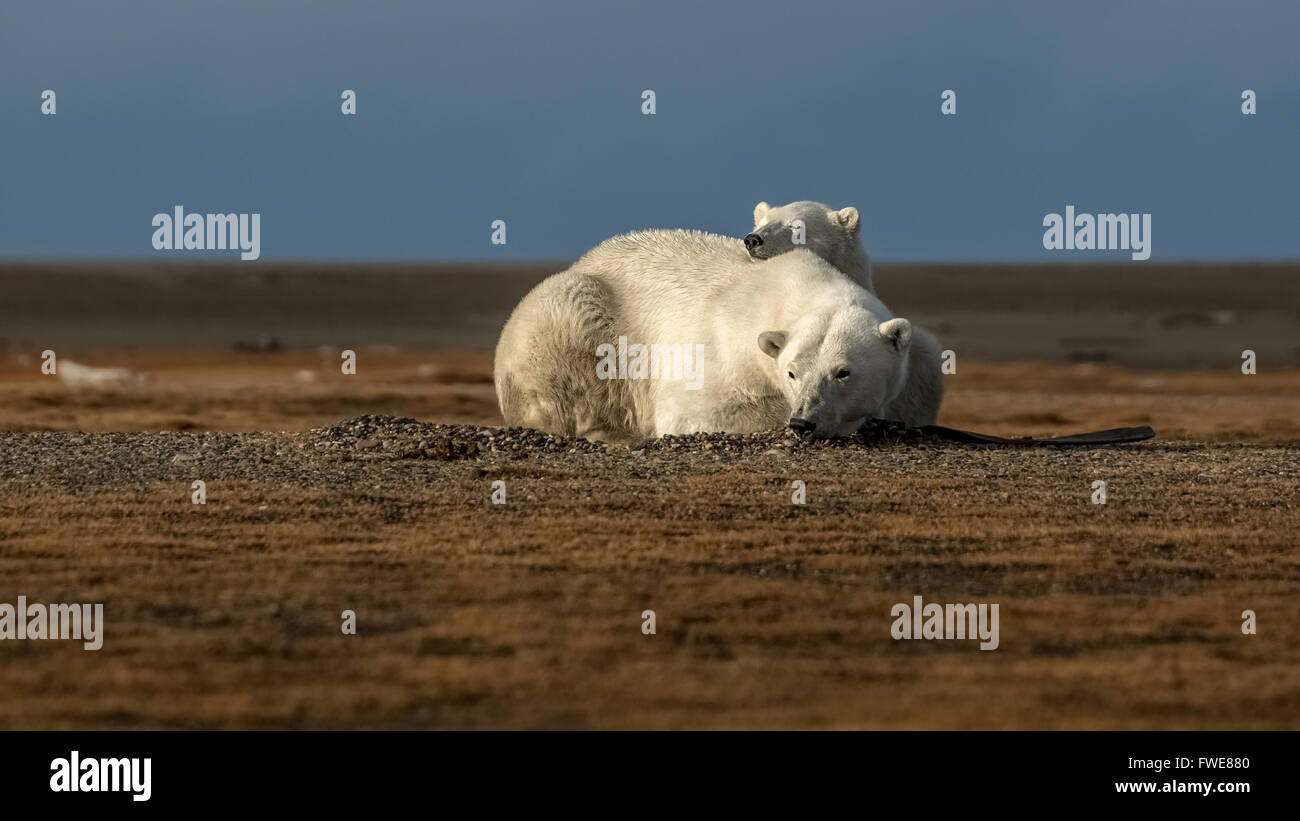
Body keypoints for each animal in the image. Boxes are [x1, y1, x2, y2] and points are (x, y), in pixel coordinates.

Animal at [494, 229, 942, 444]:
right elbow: (697, 410)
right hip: (569, 314)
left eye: (842, 372)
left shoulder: (918, 366)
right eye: (792, 372)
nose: (803, 422)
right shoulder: (720, 346)